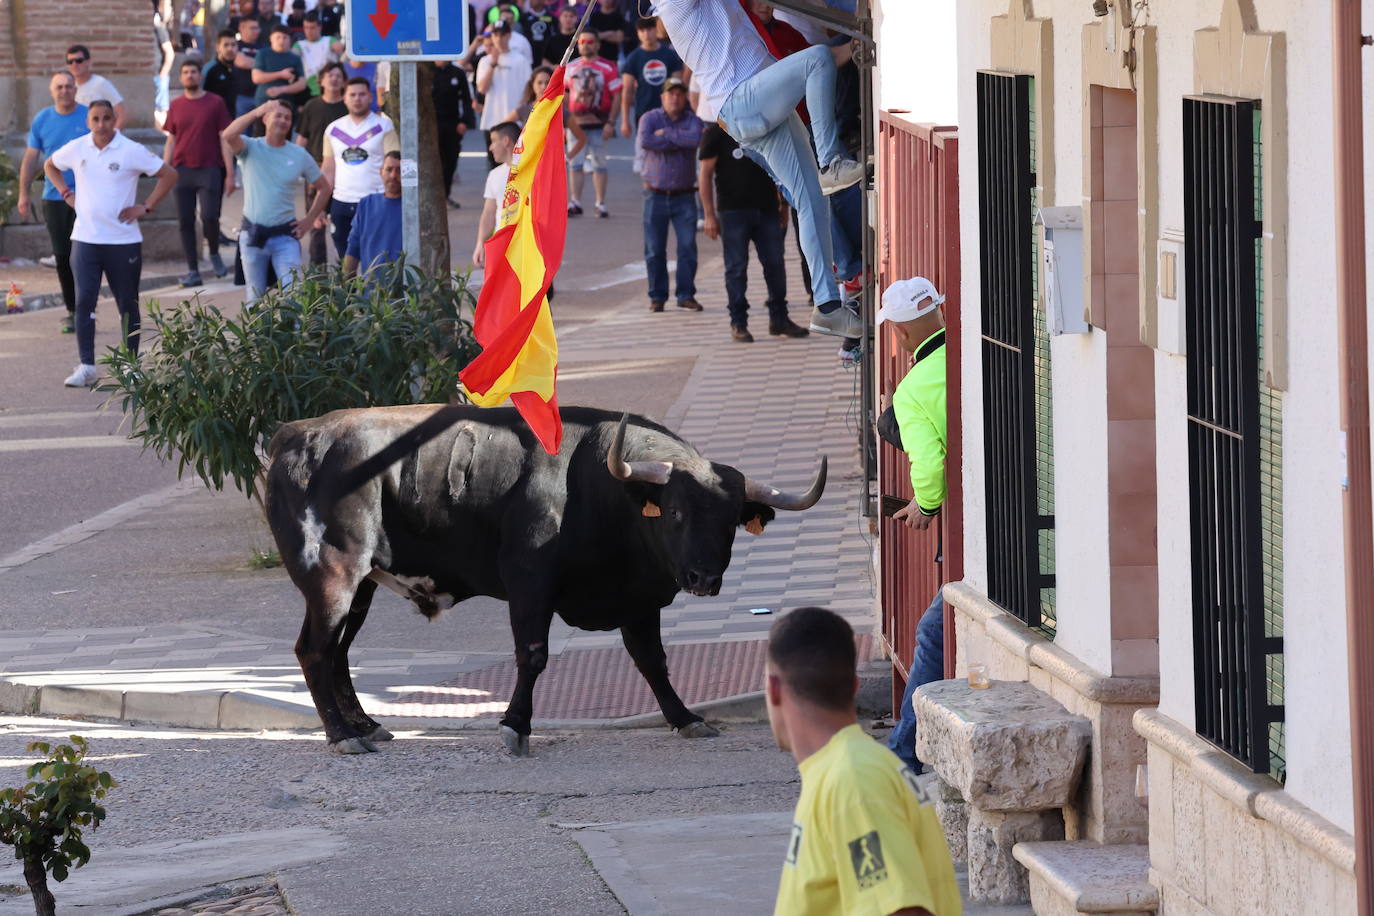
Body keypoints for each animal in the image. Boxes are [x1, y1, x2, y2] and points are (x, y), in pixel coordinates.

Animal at [266, 403, 824, 758]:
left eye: (731, 521)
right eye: (676, 512)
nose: (704, 577)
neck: (597, 487)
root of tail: (296, 435)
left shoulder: (640, 598)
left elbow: (652, 661)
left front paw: (685, 718)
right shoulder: (529, 583)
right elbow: (532, 656)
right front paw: (515, 727)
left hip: (361, 586)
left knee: (338, 651)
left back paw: (366, 725)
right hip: (334, 576)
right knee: (314, 650)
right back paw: (342, 736)